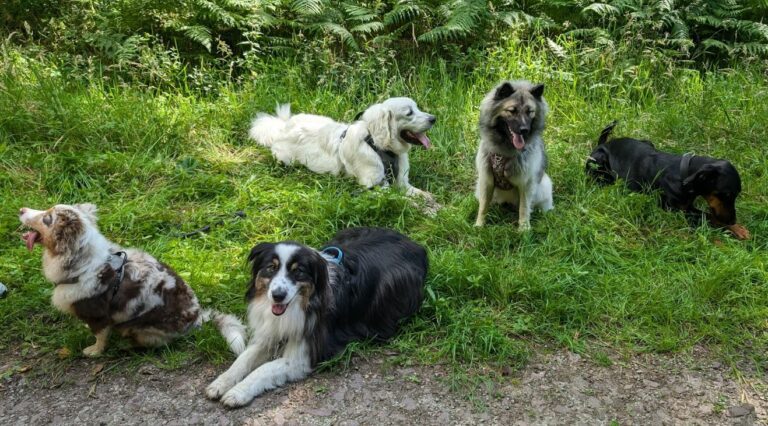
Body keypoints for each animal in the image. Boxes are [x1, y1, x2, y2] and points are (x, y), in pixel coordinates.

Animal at [18, 203, 246, 356]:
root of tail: (197, 319)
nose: (21, 209)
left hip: (141, 328)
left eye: (47, 218)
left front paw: (94, 351)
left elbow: (100, 335)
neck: (82, 263)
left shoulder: (98, 314)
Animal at [207, 228, 428, 408]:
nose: (277, 295)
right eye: (271, 267)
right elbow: (243, 360)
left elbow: (264, 369)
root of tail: (417, 246)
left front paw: (237, 392)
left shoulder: (304, 355)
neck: (302, 304)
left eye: (298, 271)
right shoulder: (271, 332)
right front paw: (220, 382)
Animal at [474, 81, 552, 231]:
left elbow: (524, 208)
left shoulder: (526, 184)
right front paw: (479, 225)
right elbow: (483, 206)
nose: (524, 130)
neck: (504, 151)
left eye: (530, 112)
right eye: (512, 110)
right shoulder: (486, 180)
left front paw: (524, 229)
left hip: (544, 186)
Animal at [588, 120, 752, 240]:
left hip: (647, 141)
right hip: (599, 162)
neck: (683, 173)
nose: (732, 221)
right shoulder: (675, 209)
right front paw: (737, 229)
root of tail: (602, 143)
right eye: (726, 195)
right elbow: (708, 215)